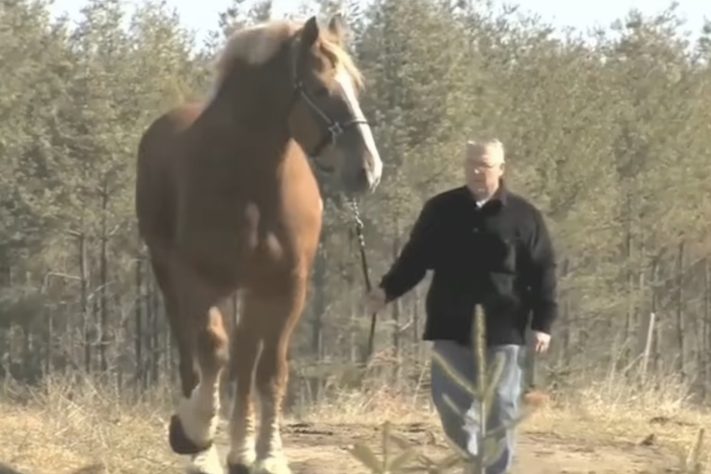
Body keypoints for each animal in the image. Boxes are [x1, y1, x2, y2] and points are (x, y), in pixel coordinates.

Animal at [134, 14, 382, 474]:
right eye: (320, 89)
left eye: (355, 88)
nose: (367, 170)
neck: (249, 181)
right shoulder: (198, 280)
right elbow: (212, 353)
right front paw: (197, 435)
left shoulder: (287, 286)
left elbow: (269, 370)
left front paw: (268, 455)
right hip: (170, 275)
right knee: (192, 355)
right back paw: (201, 444)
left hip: (253, 288)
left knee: (247, 360)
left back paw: (241, 449)